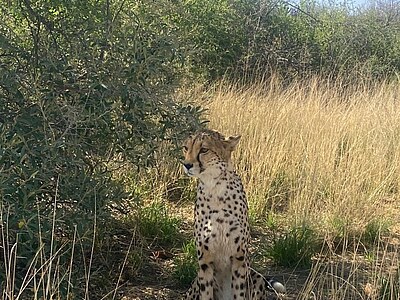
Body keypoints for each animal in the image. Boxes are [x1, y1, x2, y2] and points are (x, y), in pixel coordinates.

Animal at [181, 129, 284, 300]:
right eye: (186, 148)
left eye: (204, 150)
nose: (186, 164)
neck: (215, 190)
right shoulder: (204, 262)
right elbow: (206, 293)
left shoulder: (239, 259)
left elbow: (239, 292)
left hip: (255, 276)